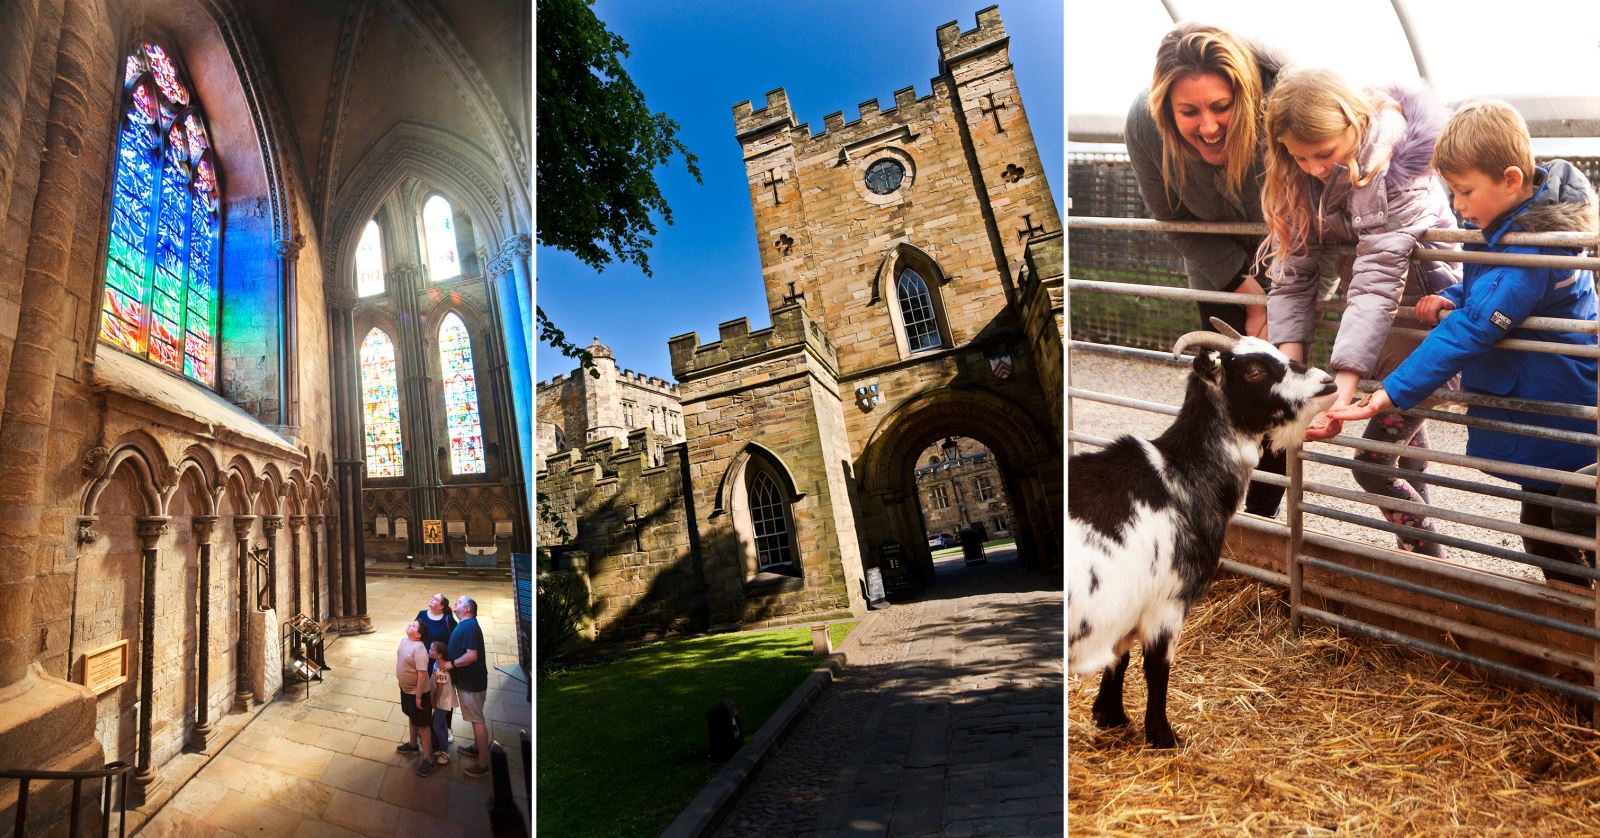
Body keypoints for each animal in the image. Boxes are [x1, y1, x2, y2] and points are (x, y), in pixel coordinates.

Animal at [1075, 321, 1337, 745]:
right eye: (1254, 371)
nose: (1328, 382)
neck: (1178, 475)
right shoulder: (1165, 601)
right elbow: (1156, 668)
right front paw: (1162, 736)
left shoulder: (1125, 602)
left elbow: (1119, 656)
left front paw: (1109, 715)